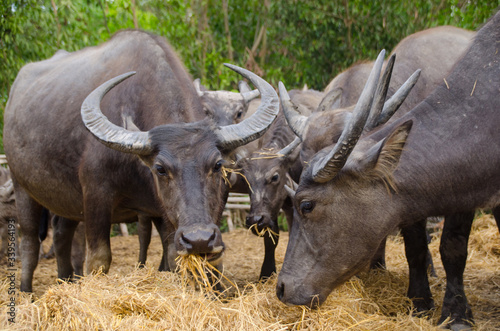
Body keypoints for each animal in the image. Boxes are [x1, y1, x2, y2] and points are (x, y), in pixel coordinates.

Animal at [1, 29, 280, 292]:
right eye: (160, 169)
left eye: (217, 165)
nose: (199, 239)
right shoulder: (95, 195)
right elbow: (99, 259)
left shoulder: (161, 213)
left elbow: (172, 257)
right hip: (22, 186)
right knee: (29, 243)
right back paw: (26, 291)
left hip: (66, 201)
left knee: (61, 235)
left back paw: (65, 280)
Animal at [278, 10, 500, 330]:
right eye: (298, 167)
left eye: (307, 205)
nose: (282, 288)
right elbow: (414, 247)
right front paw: (419, 301)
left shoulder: (463, 188)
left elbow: (452, 247)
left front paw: (456, 313)